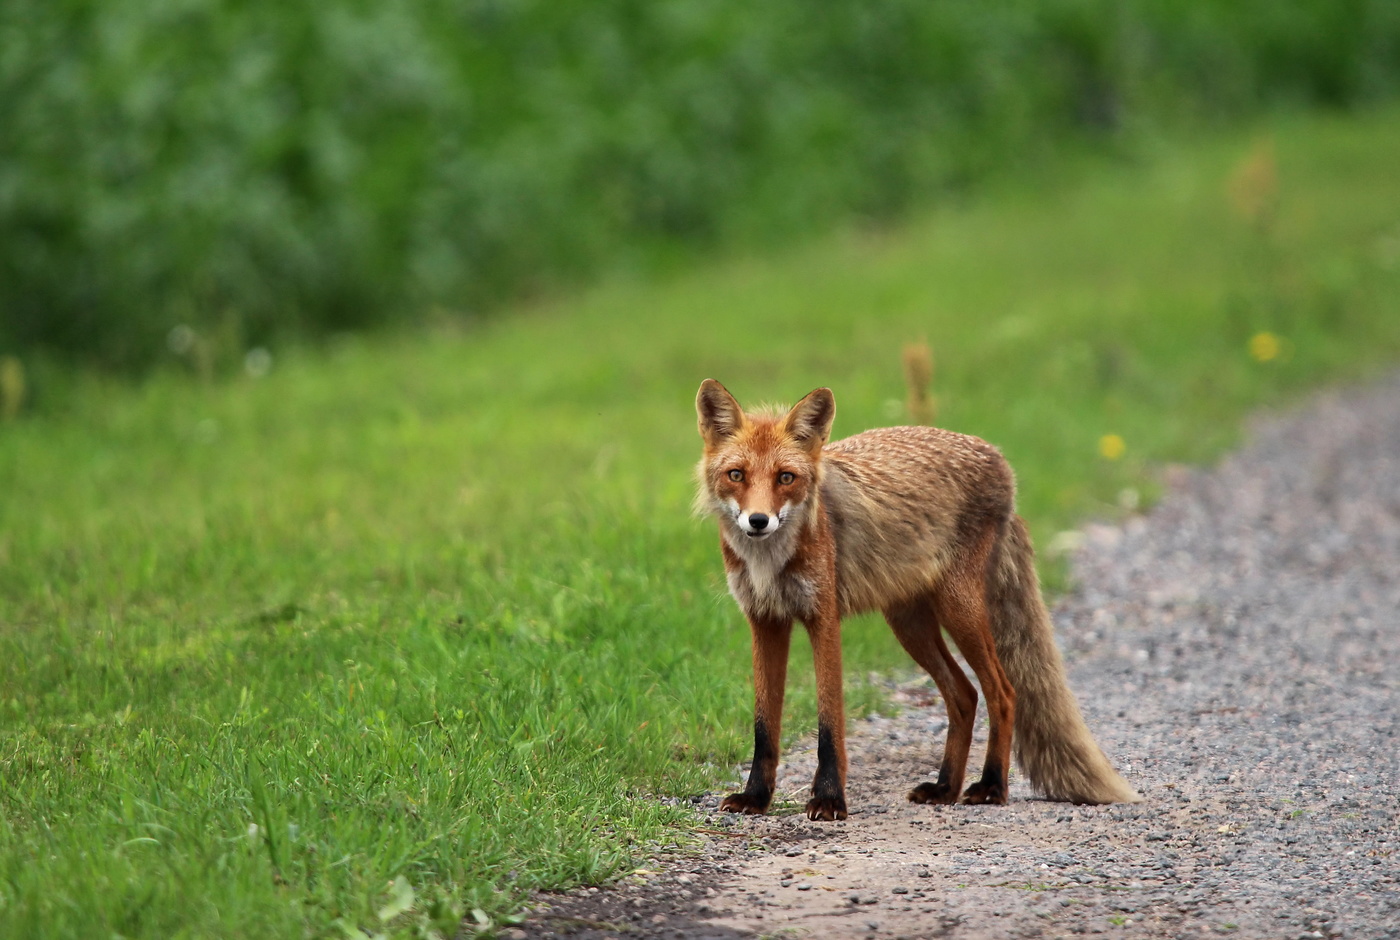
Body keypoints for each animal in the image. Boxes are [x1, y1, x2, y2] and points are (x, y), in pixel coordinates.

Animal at [694, 381, 1142, 823]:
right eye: (737, 475)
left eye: (786, 477)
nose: (758, 521)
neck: (769, 563)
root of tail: (997, 457)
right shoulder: (765, 622)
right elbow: (764, 726)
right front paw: (756, 797)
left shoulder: (824, 619)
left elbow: (829, 724)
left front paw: (829, 799)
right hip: (910, 625)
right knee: (965, 695)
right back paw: (946, 788)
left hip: (958, 611)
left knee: (1003, 692)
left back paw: (991, 786)